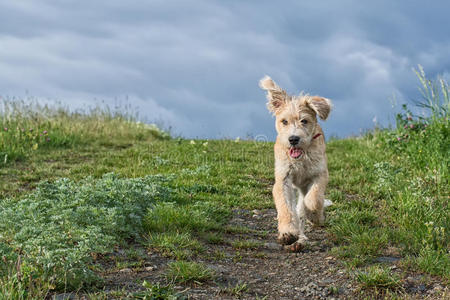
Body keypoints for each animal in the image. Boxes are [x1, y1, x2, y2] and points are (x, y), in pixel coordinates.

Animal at [260, 75, 330, 251]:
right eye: (284, 121)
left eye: (304, 121)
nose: (293, 139)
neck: (301, 159)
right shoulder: (283, 179)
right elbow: (285, 207)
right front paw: (288, 232)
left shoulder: (320, 173)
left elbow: (314, 198)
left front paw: (314, 215)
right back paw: (296, 239)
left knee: (303, 207)